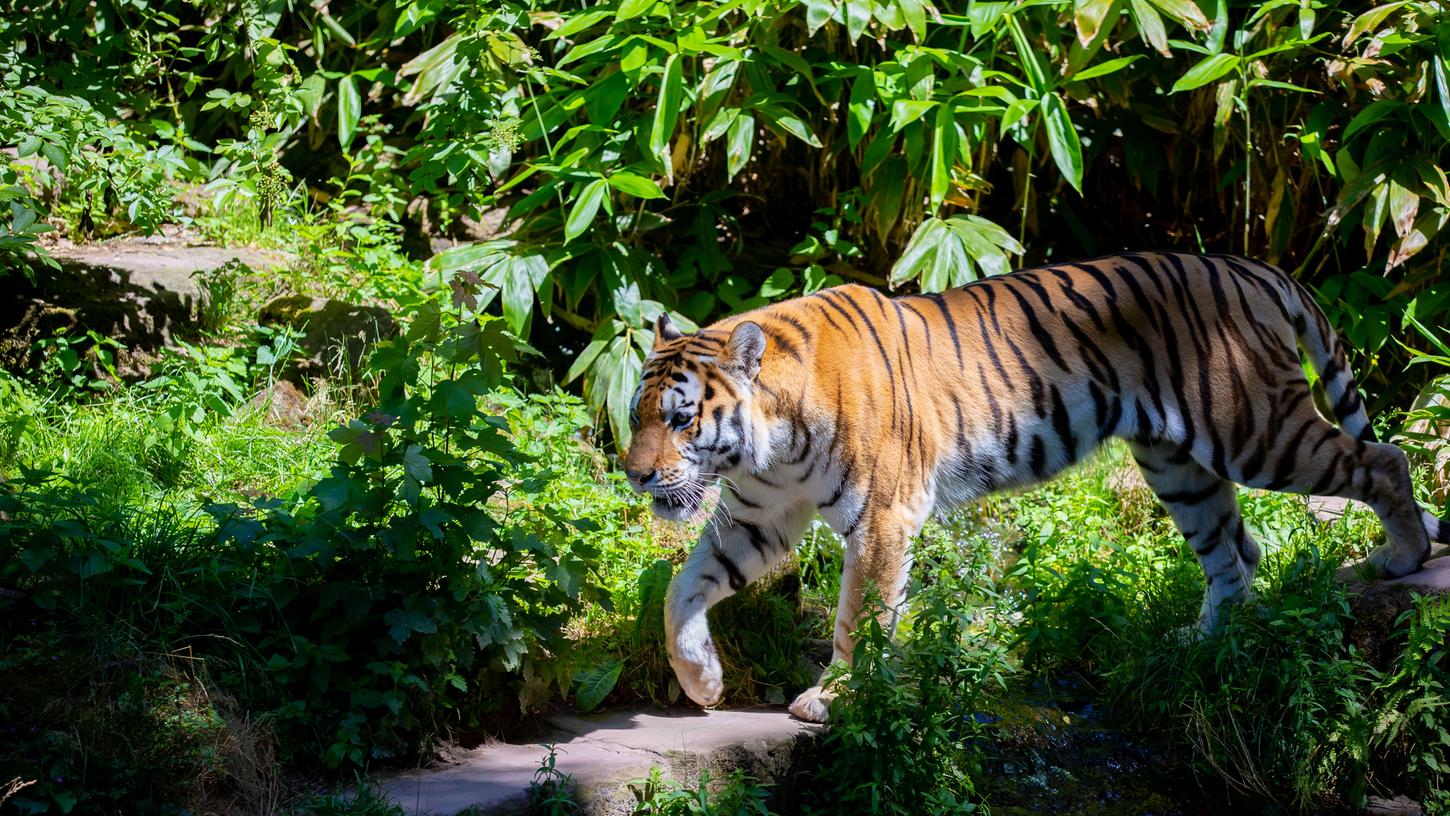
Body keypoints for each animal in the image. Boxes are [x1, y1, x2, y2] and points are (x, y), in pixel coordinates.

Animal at [623, 250, 1450, 721]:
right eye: (636, 416)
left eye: (682, 418)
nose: (634, 475)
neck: (766, 448)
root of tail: (1256, 269)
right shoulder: (755, 520)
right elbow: (682, 590)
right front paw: (701, 683)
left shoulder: (885, 516)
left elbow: (858, 617)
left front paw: (833, 697)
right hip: (1176, 463)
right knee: (1236, 553)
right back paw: (1199, 647)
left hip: (1254, 426)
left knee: (1383, 459)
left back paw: (1402, 557)